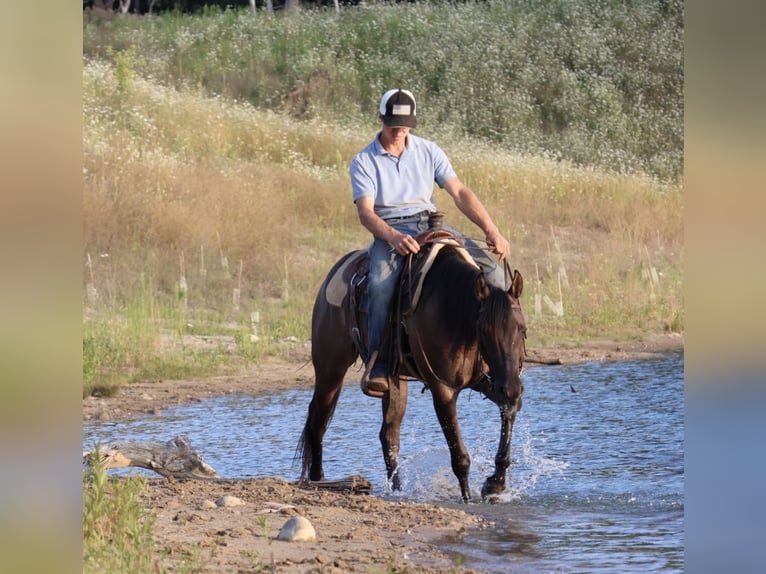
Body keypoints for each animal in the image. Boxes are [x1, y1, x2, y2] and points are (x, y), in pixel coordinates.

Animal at [296, 241, 526, 501]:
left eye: (522, 329)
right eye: (485, 332)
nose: (511, 387)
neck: (453, 313)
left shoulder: (490, 381)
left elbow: (509, 410)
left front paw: (495, 483)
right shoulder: (443, 390)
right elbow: (459, 455)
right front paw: (468, 498)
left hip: (393, 381)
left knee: (388, 435)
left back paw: (396, 490)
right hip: (330, 367)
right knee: (318, 421)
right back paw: (319, 481)